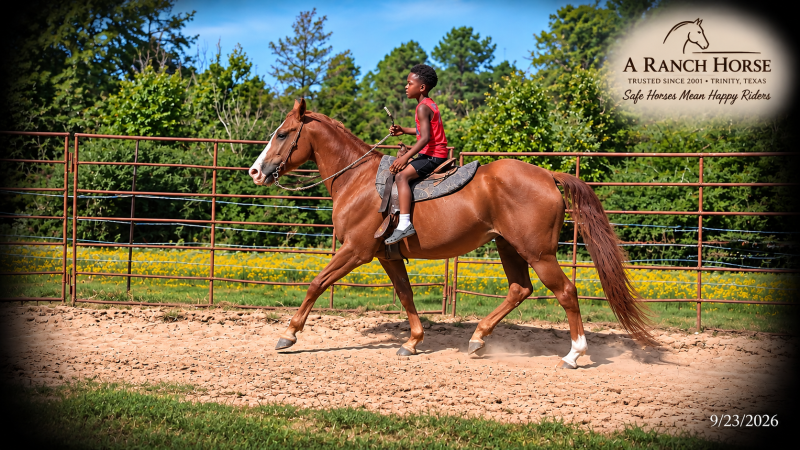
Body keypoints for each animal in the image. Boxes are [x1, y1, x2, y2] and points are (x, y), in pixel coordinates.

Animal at [249, 99, 654, 369]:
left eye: (282, 134)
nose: (255, 171)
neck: (359, 181)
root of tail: (547, 175)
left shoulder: (356, 250)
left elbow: (317, 283)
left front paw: (289, 334)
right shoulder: (385, 256)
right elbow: (406, 295)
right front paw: (412, 342)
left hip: (539, 253)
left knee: (566, 292)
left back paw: (574, 354)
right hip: (508, 247)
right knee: (520, 289)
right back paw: (478, 338)